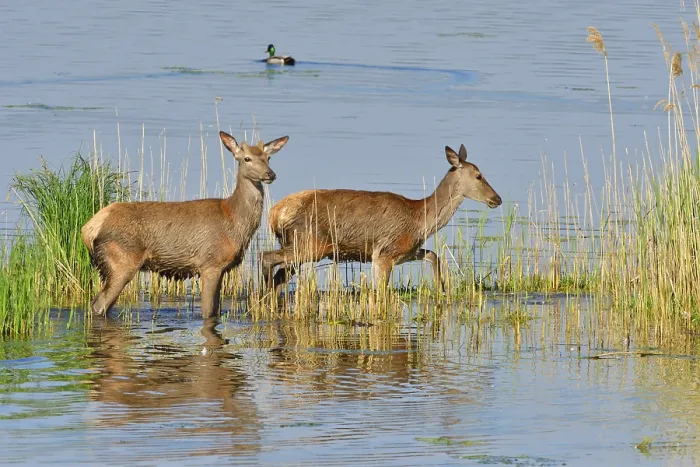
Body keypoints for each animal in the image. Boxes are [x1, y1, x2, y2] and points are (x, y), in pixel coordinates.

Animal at [81, 130, 289, 318]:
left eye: (268, 157)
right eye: (247, 158)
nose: (270, 174)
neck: (234, 221)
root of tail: (89, 228)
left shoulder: (222, 268)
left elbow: (216, 310)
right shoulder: (210, 263)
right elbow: (208, 312)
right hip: (121, 260)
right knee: (98, 305)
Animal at [261, 143, 501, 295]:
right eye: (478, 176)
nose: (497, 199)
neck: (420, 222)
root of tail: (275, 214)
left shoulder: (406, 251)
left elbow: (433, 255)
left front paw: (441, 288)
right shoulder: (384, 253)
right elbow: (382, 293)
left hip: (298, 247)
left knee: (280, 275)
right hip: (308, 243)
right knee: (266, 257)